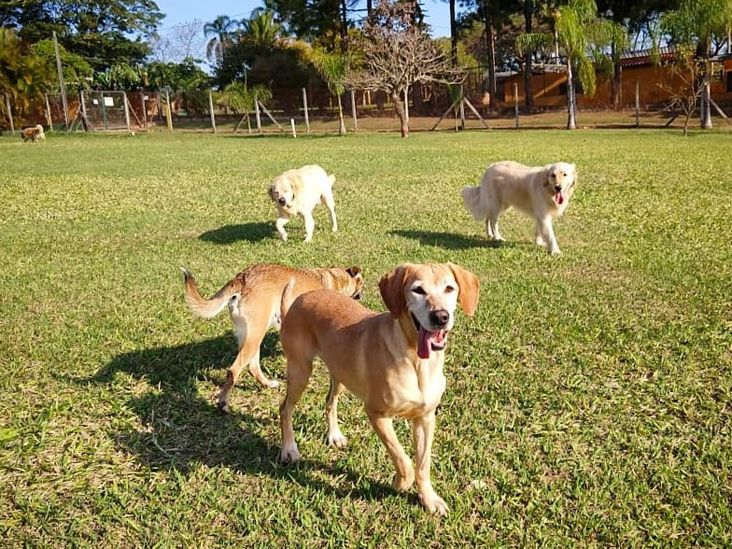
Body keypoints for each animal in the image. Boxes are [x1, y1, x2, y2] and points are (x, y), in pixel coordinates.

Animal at [180, 262, 364, 412]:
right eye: (362, 283)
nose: (363, 294)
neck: (336, 278)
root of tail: (242, 278)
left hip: (250, 335)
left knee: (253, 367)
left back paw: (267, 384)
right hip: (256, 333)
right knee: (234, 370)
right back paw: (224, 403)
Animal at [278, 262, 480, 512]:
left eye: (449, 288)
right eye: (418, 290)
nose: (441, 316)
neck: (416, 361)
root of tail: (299, 300)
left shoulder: (425, 418)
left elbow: (423, 465)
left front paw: (429, 498)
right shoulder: (377, 413)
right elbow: (403, 459)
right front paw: (400, 482)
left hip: (340, 373)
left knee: (329, 402)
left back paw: (334, 435)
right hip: (300, 372)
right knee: (285, 409)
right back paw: (289, 448)